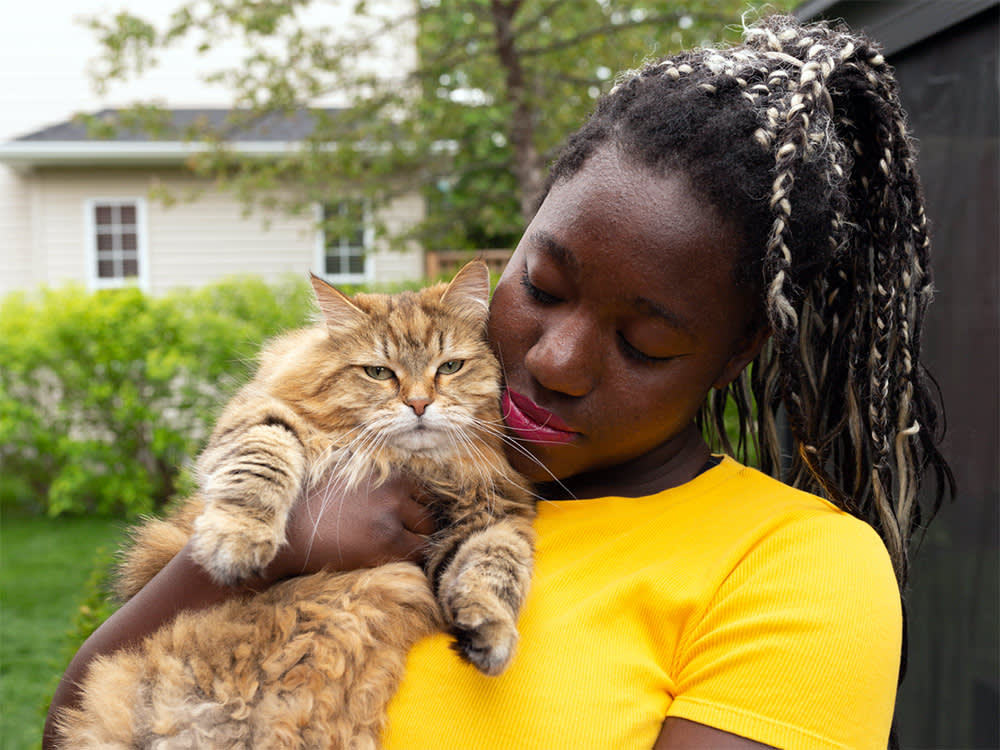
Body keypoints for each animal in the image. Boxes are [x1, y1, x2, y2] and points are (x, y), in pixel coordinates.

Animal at [52, 262, 540, 748]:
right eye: (378, 372)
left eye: (450, 367)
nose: (419, 404)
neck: (407, 464)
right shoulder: (262, 415)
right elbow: (260, 464)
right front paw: (237, 542)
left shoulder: (489, 515)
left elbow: (493, 566)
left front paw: (489, 633)